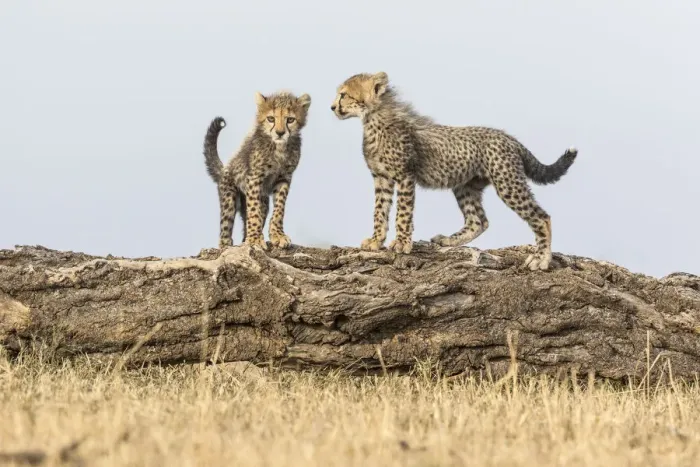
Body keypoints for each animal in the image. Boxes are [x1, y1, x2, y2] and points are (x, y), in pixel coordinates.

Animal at [202, 91, 311, 250]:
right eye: (271, 118)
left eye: (290, 119)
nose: (280, 132)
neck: (279, 146)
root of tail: (225, 168)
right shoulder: (255, 177)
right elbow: (254, 211)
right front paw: (254, 239)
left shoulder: (284, 177)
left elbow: (279, 208)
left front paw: (277, 235)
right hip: (229, 198)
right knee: (225, 230)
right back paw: (227, 245)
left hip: (263, 202)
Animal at [331, 72, 577, 270]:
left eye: (343, 95)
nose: (332, 107)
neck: (373, 119)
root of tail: (509, 137)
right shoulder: (381, 178)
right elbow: (379, 211)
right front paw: (376, 241)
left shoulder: (405, 176)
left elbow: (403, 213)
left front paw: (401, 243)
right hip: (465, 185)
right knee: (478, 221)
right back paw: (448, 241)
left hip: (507, 183)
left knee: (541, 217)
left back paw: (541, 258)